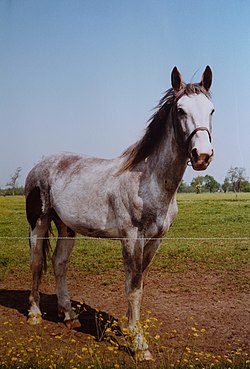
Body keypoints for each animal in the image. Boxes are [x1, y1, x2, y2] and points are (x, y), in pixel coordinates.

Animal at [24, 66, 214, 360]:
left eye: (212, 110)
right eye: (181, 110)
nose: (202, 155)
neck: (148, 180)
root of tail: (40, 166)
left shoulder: (154, 241)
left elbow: (138, 284)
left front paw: (129, 330)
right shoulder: (132, 238)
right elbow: (133, 287)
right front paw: (139, 344)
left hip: (67, 228)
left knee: (59, 264)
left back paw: (69, 317)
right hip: (39, 223)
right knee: (36, 263)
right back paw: (34, 314)